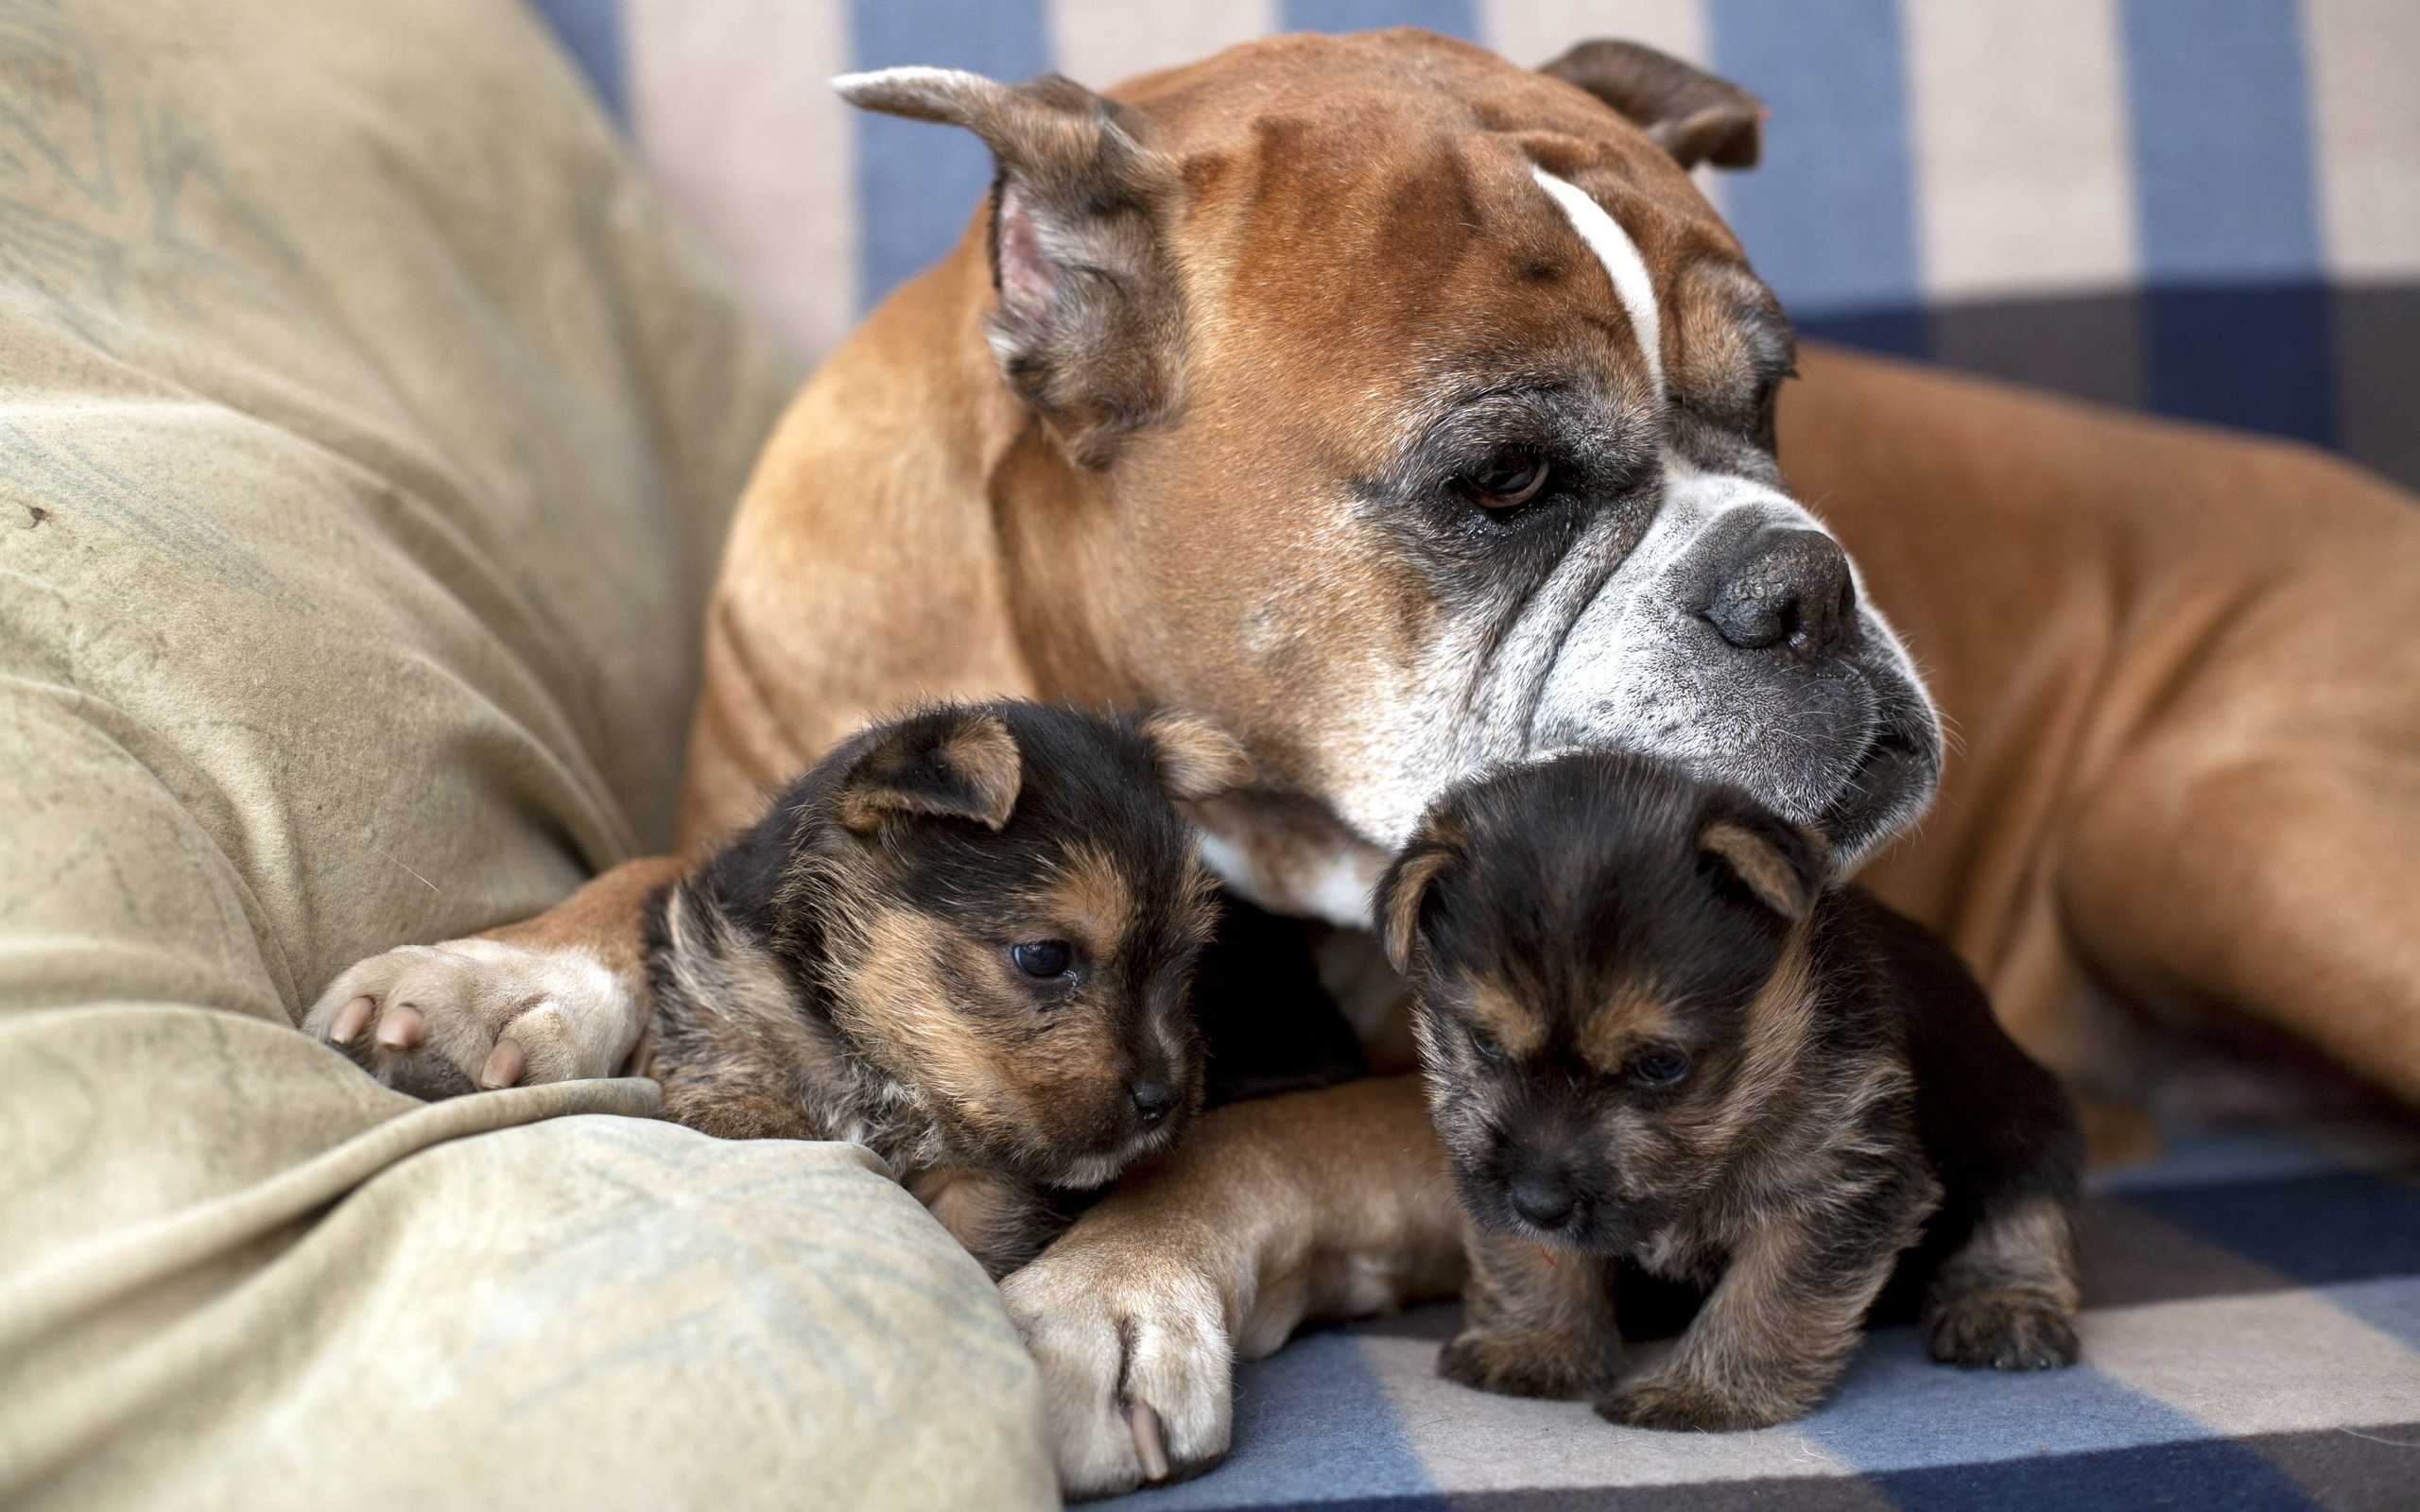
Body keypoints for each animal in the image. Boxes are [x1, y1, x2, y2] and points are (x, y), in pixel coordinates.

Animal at [1384, 749, 2081, 1432]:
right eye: (1485, 1043)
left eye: (1661, 1065)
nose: (1539, 1203)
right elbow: (1531, 1257)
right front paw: (1535, 1346)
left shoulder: (1843, 1182)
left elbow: (1767, 1296)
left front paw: (1703, 1394)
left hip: (2023, 1118)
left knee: (2022, 1217)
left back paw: (2005, 1307)